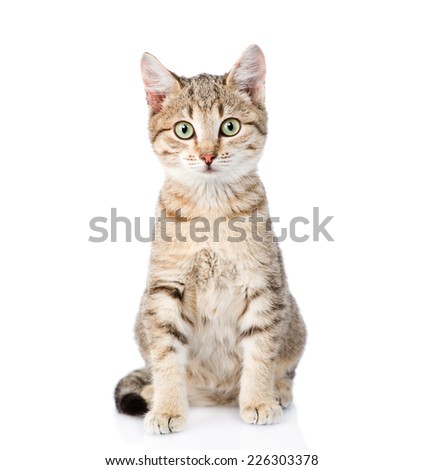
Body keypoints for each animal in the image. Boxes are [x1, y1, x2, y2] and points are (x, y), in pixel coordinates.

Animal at [115, 46, 308, 436]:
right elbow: (166, 356)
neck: (210, 209)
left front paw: (258, 400)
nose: (207, 155)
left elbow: (261, 351)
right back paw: (152, 392)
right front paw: (168, 407)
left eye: (229, 126)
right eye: (184, 129)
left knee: (285, 369)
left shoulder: (264, 284)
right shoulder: (163, 290)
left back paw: (277, 390)